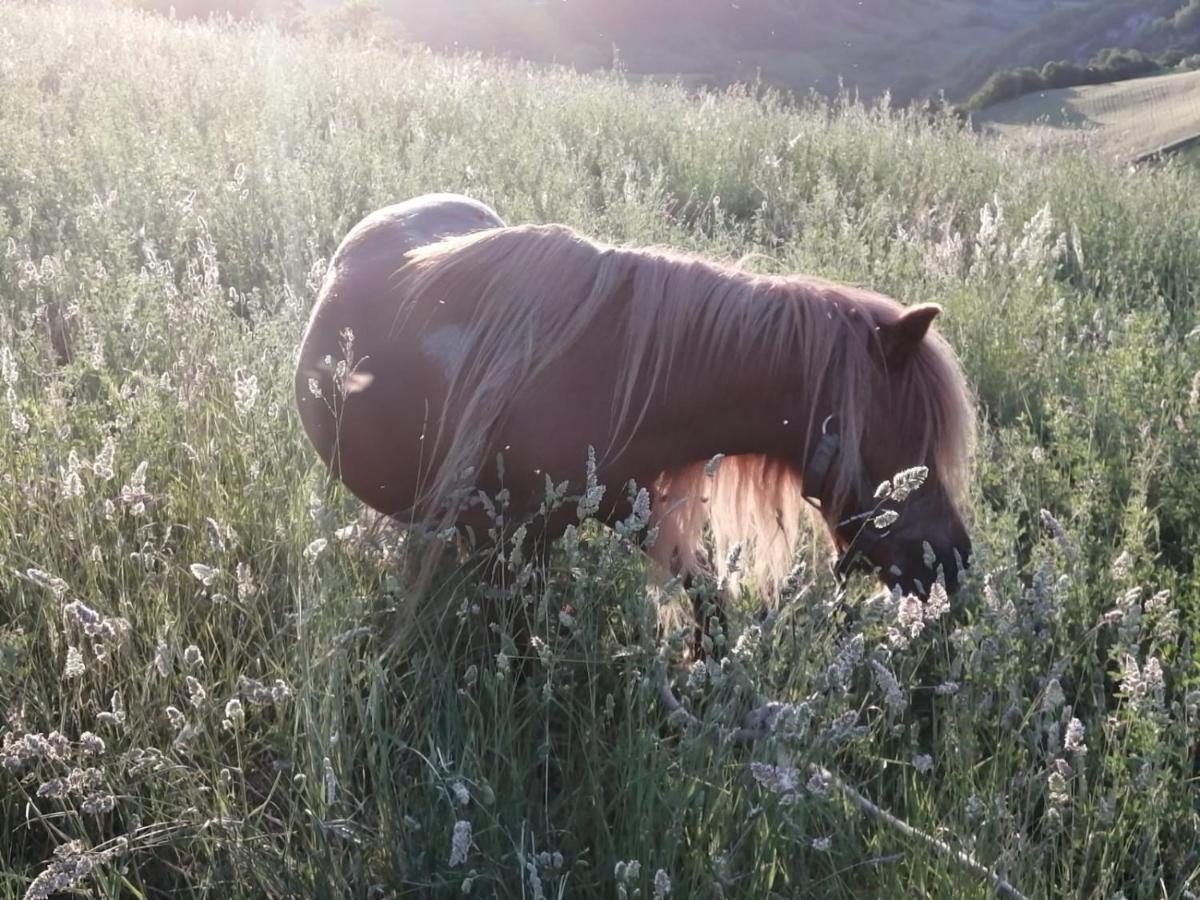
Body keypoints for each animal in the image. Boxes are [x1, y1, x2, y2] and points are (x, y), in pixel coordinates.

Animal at [292, 194, 974, 609]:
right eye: (913, 442)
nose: (953, 562)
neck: (603, 373)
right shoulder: (505, 543)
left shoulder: (632, 503)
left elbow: (707, 606)